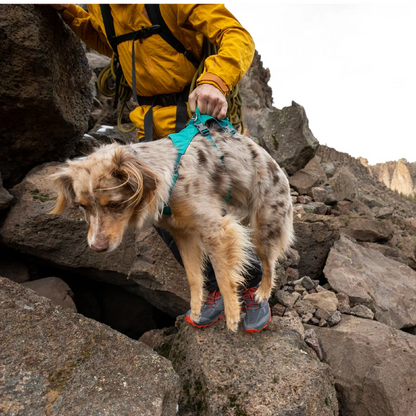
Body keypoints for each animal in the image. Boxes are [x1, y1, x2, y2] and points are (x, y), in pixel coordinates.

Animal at [50, 127, 294, 332]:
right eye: (82, 206)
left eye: (115, 204)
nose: (96, 248)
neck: (168, 178)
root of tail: (272, 161)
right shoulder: (182, 235)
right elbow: (193, 276)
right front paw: (197, 309)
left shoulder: (217, 230)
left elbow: (223, 274)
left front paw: (232, 313)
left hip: (263, 227)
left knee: (269, 264)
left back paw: (262, 293)